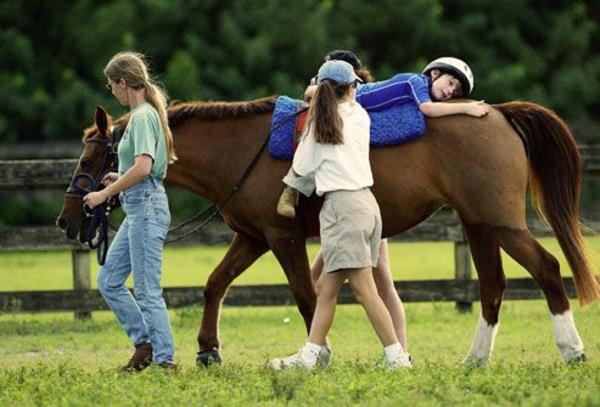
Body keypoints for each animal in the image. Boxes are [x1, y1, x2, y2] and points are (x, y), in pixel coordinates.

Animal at [57, 96, 600, 366]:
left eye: (89, 159)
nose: (67, 219)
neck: (243, 150)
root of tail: (499, 115)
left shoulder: (283, 238)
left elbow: (305, 296)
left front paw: (320, 353)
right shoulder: (253, 237)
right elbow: (215, 284)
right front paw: (208, 349)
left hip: (502, 223)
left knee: (547, 269)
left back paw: (572, 350)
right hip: (479, 224)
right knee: (492, 286)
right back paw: (476, 358)